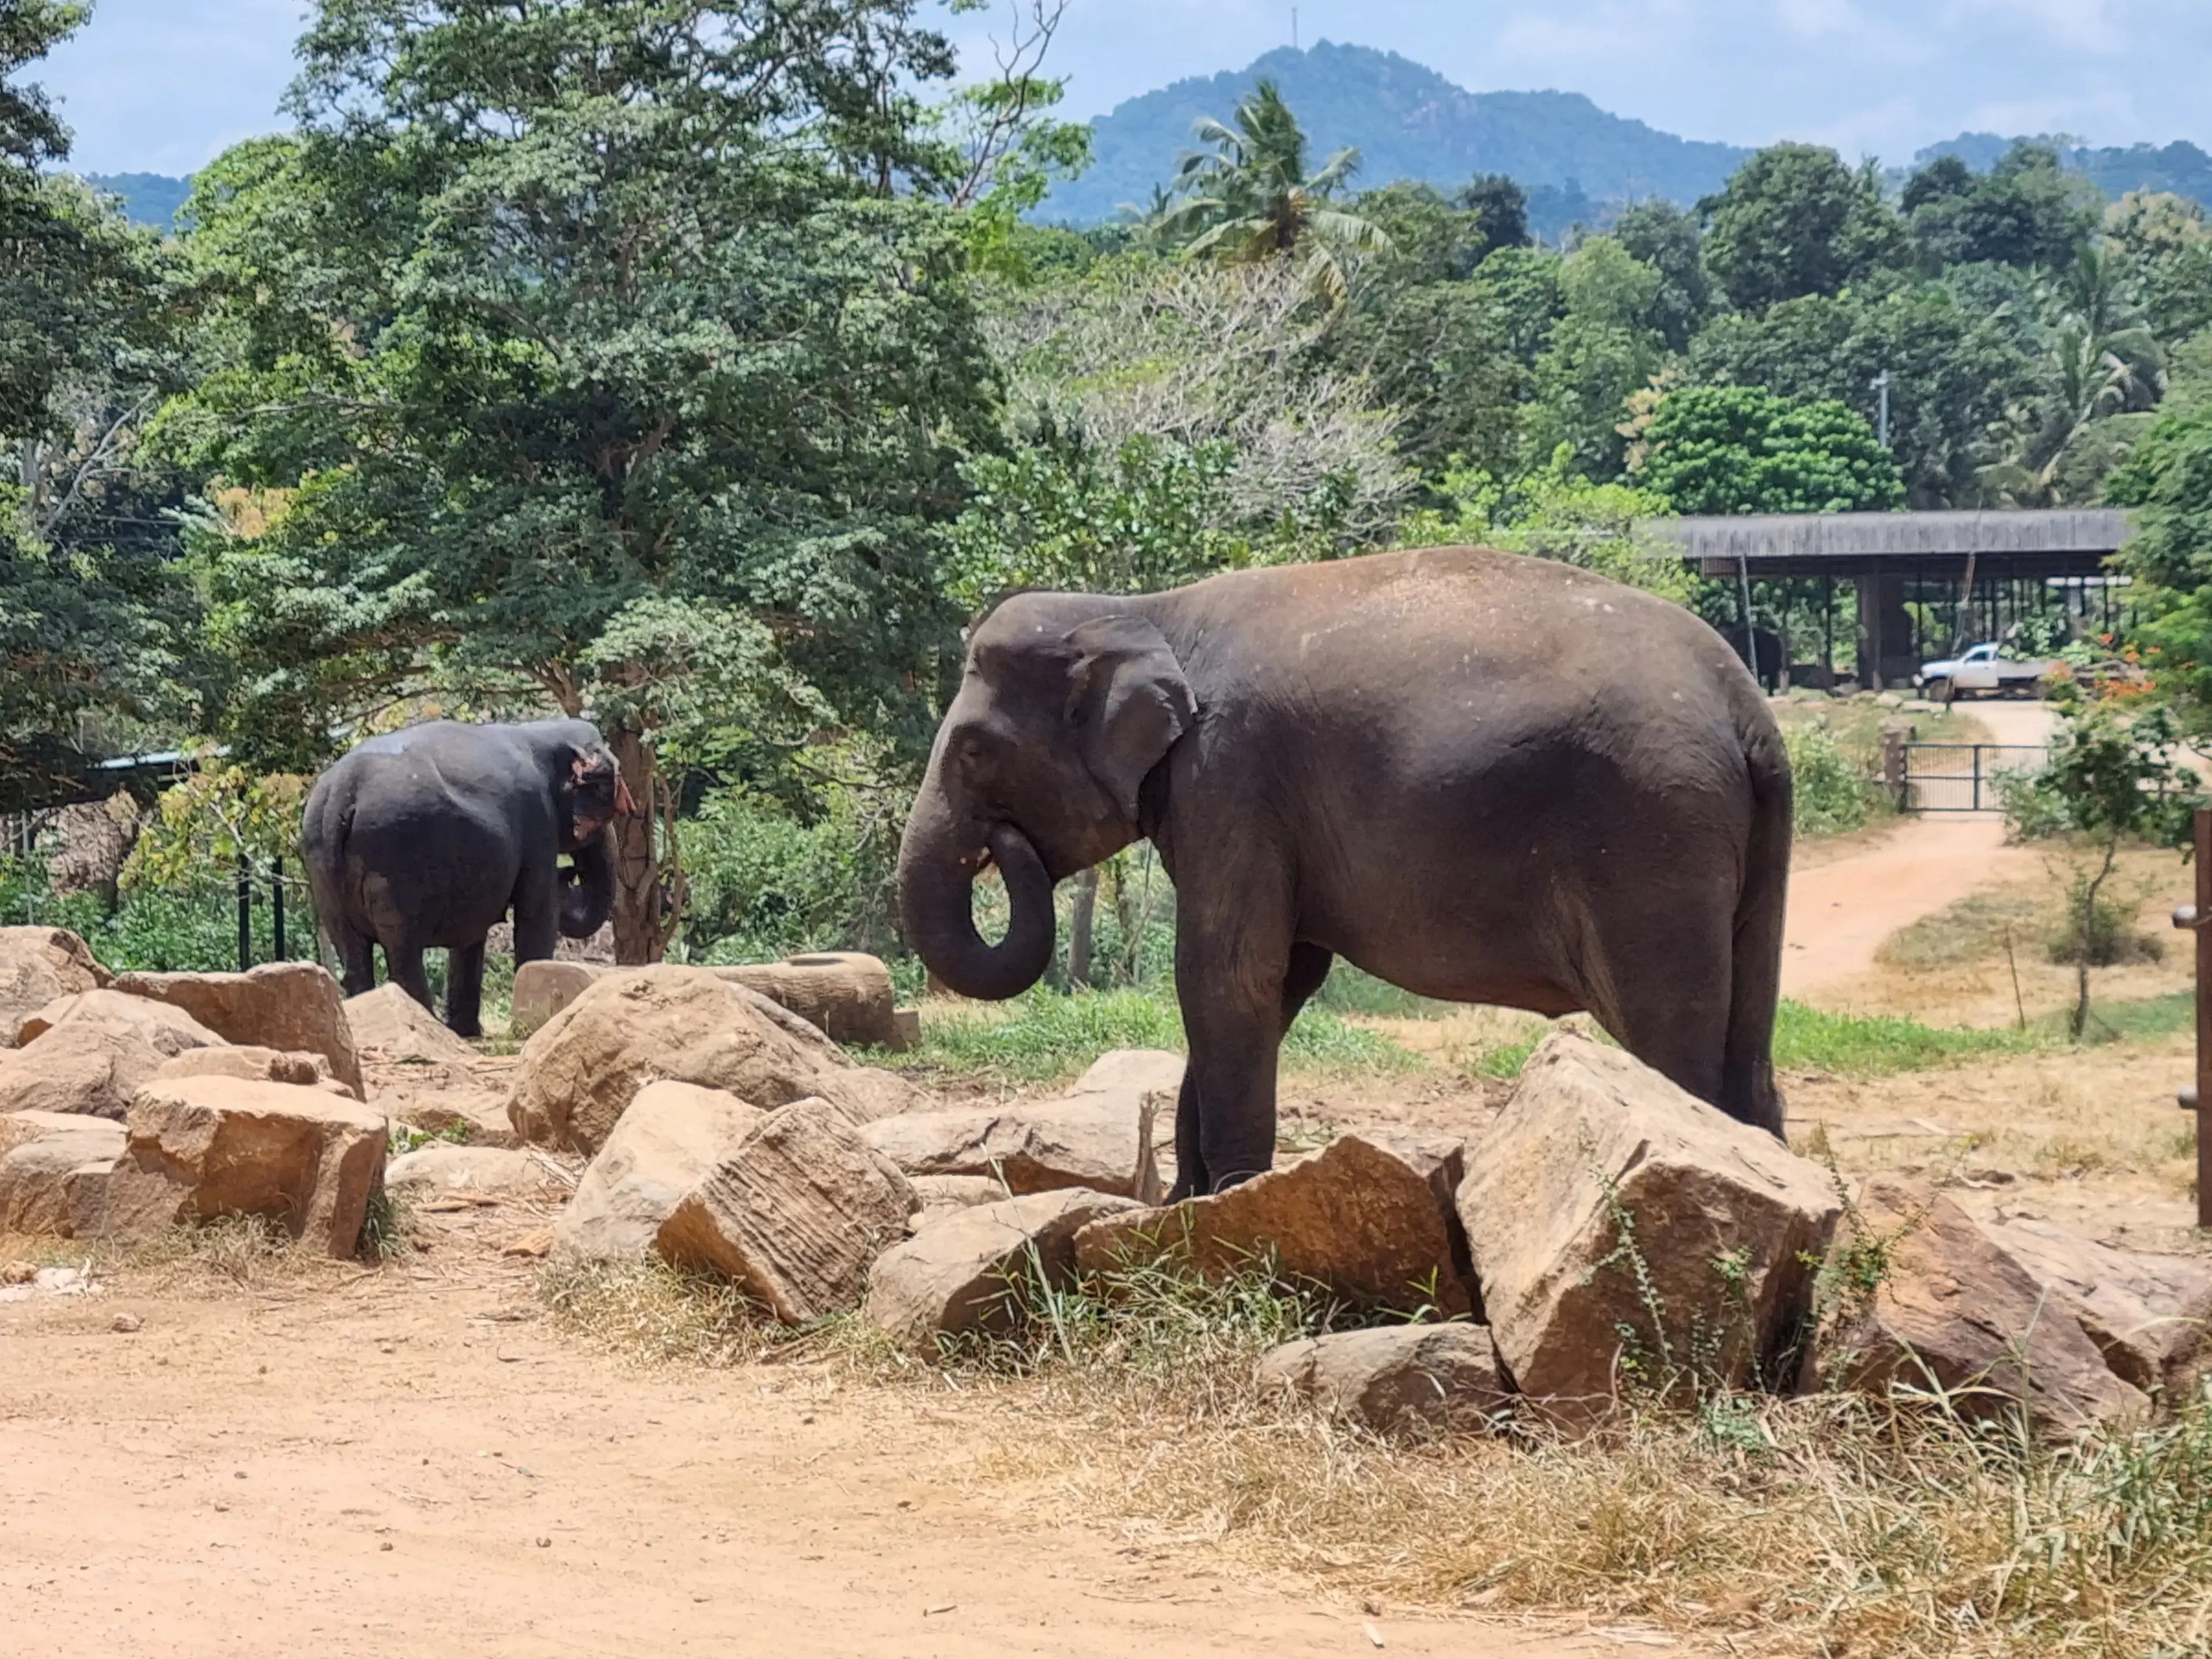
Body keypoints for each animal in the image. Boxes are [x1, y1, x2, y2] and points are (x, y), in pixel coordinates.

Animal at [301, 719, 633, 1037]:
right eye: (607, 797)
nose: (570, 874)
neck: (539, 731)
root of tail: (342, 794)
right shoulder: (538, 820)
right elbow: (536, 909)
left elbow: (473, 933)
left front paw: (467, 1031)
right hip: (395, 860)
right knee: (402, 947)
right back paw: (426, 1021)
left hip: (321, 867)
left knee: (351, 949)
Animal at [897, 546, 1793, 1200]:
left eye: (973, 751)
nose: (999, 843)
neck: (1145, 607)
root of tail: (1751, 710)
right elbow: (1284, 976)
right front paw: (1186, 1204)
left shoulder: (1231, 774)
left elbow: (1227, 974)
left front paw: (1224, 1205)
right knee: (1748, 1044)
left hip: (1652, 836)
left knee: (1669, 1035)